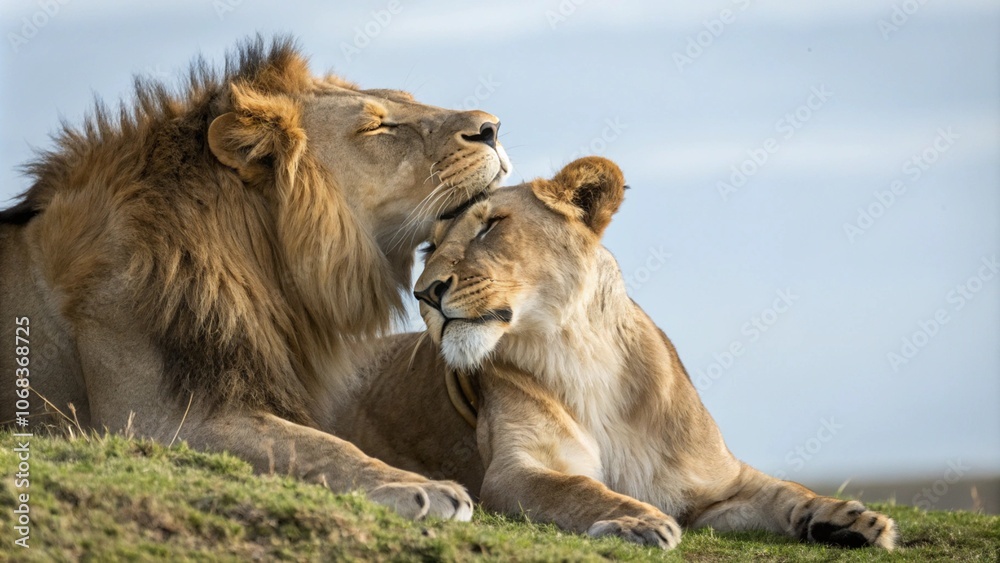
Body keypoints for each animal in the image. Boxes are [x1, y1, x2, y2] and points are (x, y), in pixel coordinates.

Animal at [0, 36, 511, 521]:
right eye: (377, 126)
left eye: (408, 102)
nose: (492, 127)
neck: (266, 267)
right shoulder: (151, 420)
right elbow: (317, 444)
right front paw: (416, 487)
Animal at [337, 157, 898, 548]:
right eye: (429, 248)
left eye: (491, 225)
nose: (425, 294)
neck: (579, 356)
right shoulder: (514, 471)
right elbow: (581, 490)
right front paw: (637, 520)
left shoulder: (720, 484)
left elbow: (788, 491)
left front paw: (852, 519)